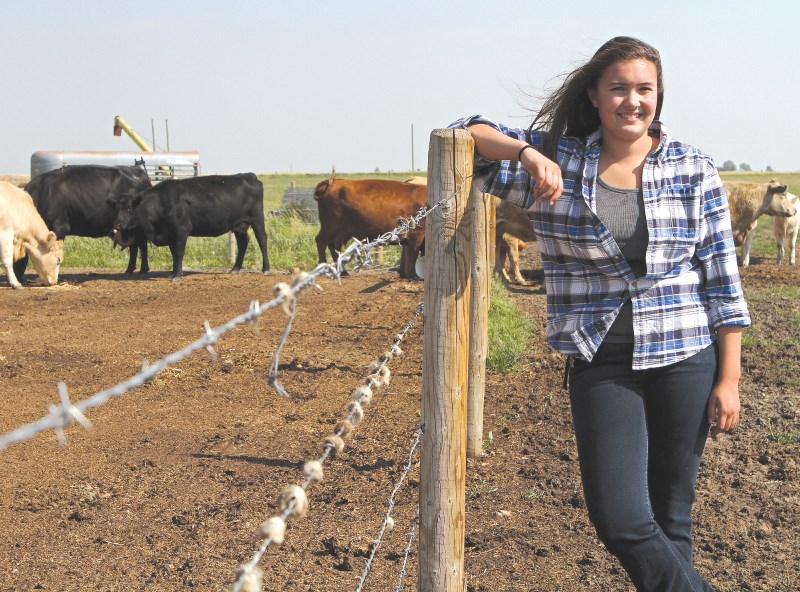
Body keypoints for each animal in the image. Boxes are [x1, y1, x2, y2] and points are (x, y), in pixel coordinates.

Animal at [15, 164, 153, 278]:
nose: (13, 282)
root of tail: (138, 171)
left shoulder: (59, 227)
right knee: (135, 245)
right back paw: (130, 270)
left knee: (141, 244)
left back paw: (142, 269)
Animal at [111, 173, 270, 280]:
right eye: (117, 208)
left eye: (129, 209)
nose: (117, 224)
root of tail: (248, 176)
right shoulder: (170, 233)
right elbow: (174, 253)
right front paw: (174, 272)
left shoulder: (181, 230)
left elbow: (179, 252)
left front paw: (177, 275)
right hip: (238, 225)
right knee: (243, 242)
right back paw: (235, 268)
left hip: (257, 219)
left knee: (262, 240)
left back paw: (266, 268)